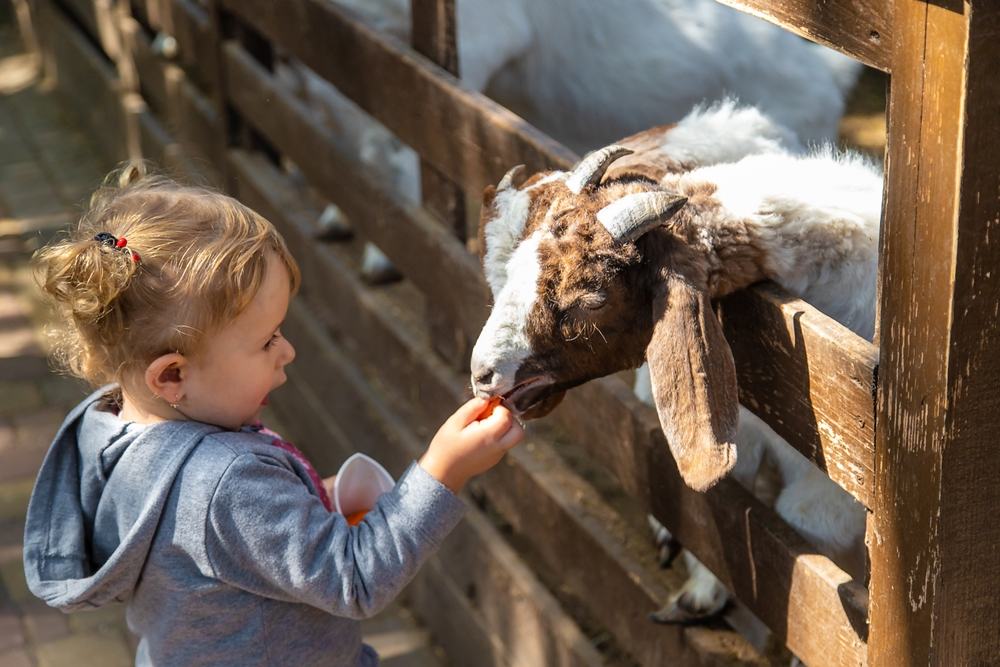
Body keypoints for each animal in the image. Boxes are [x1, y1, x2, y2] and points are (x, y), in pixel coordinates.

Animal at [466, 102, 876, 640]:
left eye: (590, 299)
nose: (483, 373)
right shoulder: (743, 425)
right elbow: (727, 502)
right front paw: (702, 592)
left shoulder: (845, 490)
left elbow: (801, 540)